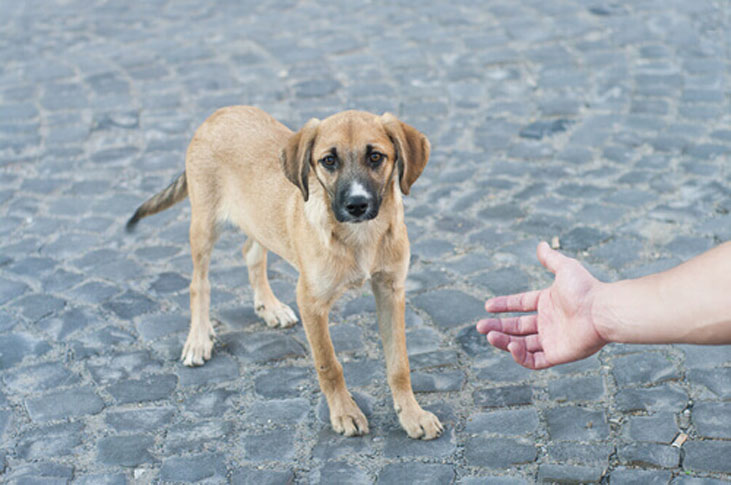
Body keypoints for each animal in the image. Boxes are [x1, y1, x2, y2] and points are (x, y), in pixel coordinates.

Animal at [128, 106, 444, 438]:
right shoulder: (311, 302)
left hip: (256, 219)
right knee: (198, 283)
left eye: (375, 157)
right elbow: (329, 364)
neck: (362, 237)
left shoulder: (390, 290)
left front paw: (412, 414)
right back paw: (198, 339)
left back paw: (270, 307)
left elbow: (399, 364)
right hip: (204, 225)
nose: (357, 205)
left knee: (251, 253)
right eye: (328, 160)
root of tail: (220, 112)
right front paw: (344, 413)